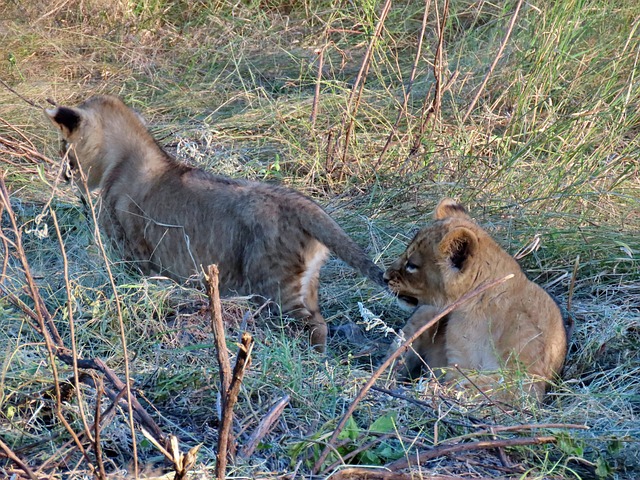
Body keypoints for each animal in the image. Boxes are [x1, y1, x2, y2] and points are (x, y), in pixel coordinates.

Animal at [45, 95, 384, 352]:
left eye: (63, 144)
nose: (62, 173)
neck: (124, 156)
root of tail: (303, 203)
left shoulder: (134, 257)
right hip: (305, 286)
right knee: (320, 322)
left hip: (274, 288)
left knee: (310, 325)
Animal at [384, 198, 567, 402]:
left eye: (412, 265)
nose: (384, 277)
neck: (477, 310)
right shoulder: (458, 361)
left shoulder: (528, 379)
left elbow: (484, 385)